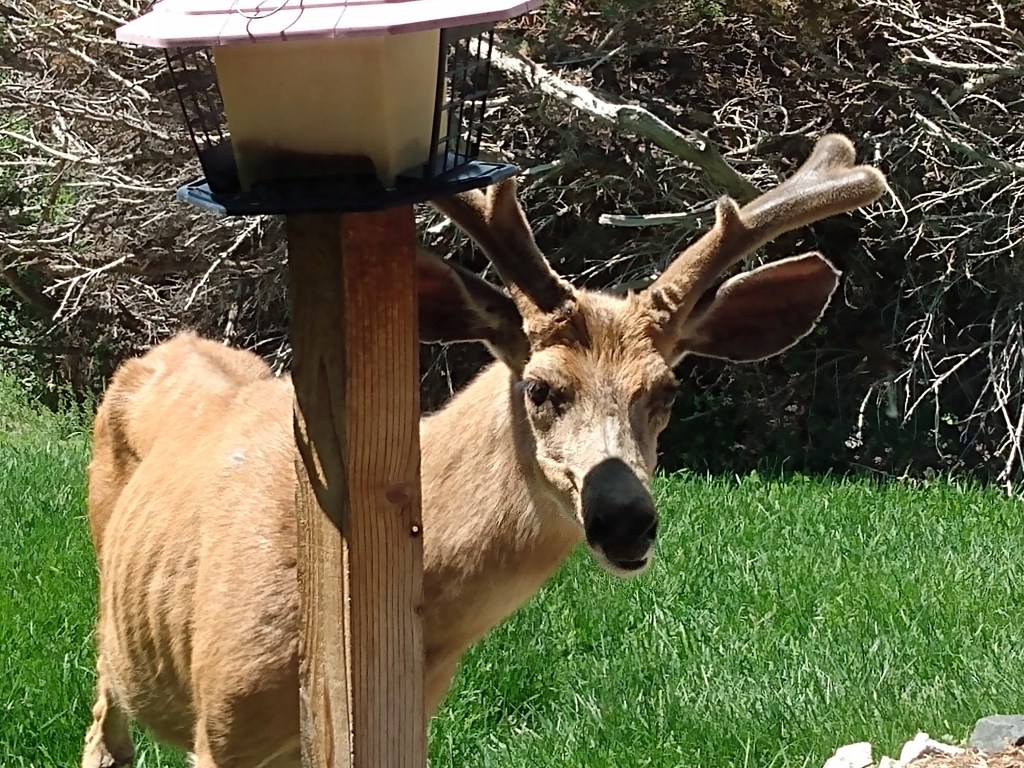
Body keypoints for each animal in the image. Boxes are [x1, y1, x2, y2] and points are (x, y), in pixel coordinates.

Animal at [82, 134, 886, 768]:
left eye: (666, 391)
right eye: (539, 387)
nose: (625, 518)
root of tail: (161, 348)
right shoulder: (224, 724)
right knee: (102, 722)